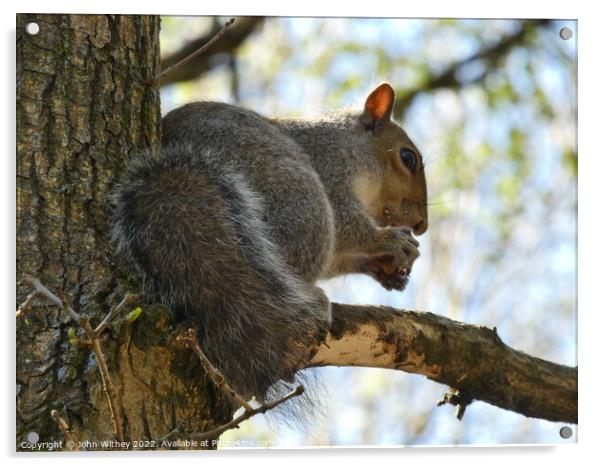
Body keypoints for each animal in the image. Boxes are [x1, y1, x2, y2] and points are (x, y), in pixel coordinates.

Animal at [110, 83, 424, 404]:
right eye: (407, 157)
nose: (421, 225)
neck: (346, 144)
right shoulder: (332, 172)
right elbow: (349, 226)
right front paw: (390, 241)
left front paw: (384, 269)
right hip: (301, 201)